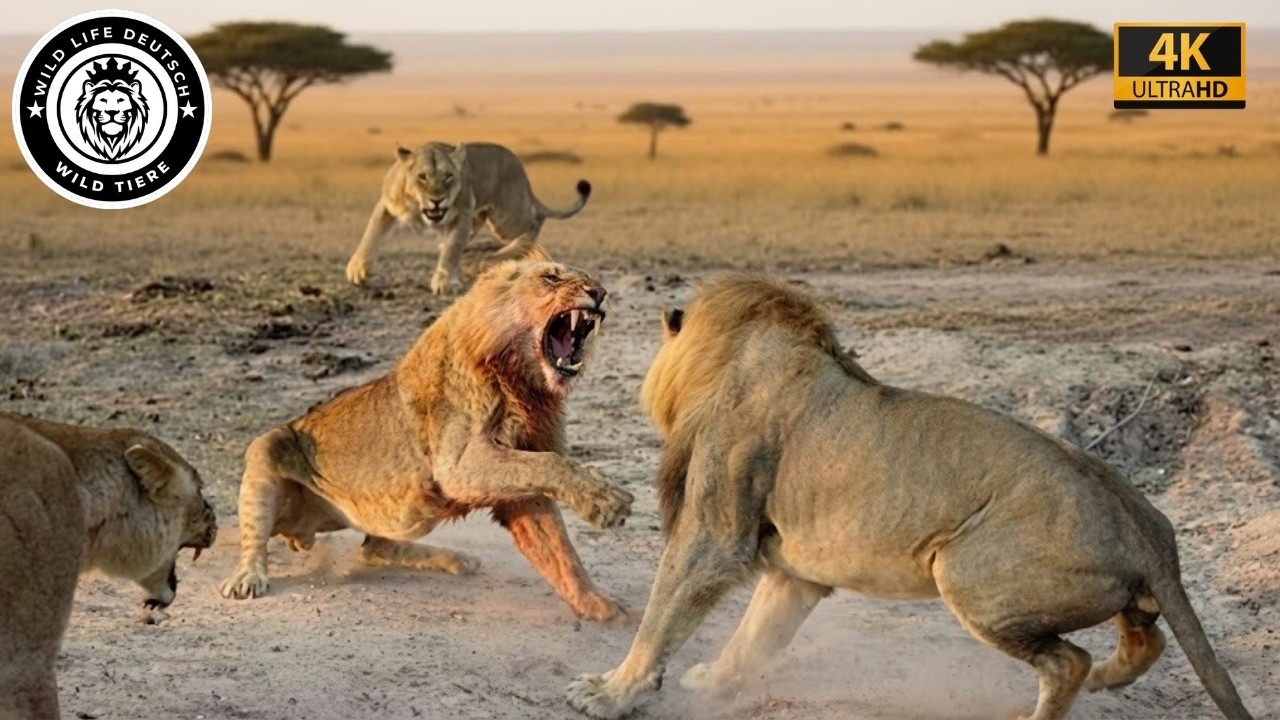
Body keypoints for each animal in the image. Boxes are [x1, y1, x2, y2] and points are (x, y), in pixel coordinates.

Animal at [221, 248, 633, 623]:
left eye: (591, 279)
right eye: (551, 277)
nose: (600, 292)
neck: (525, 385)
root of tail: (298, 532)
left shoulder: (520, 488)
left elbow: (560, 551)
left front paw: (600, 607)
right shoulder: (457, 465)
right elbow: (550, 464)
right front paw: (608, 501)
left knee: (375, 549)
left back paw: (458, 559)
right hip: (267, 447)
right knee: (256, 535)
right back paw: (246, 579)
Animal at [344, 141, 592, 295]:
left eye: (448, 176)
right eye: (422, 177)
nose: (437, 200)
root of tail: (523, 173)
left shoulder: (463, 211)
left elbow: (452, 247)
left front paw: (444, 281)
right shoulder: (388, 204)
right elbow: (371, 233)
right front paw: (358, 270)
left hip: (506, 216)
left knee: (533, 223)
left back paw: (493, 257)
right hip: (481, 219)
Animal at [566, 274, 1255, 720]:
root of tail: (1148, 528)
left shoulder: (714, 534)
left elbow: (663, 615)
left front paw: (609, 692)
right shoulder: (797, 573)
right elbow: (753, 636)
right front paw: (713, 682)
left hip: (967, 572)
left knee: (1069, 663)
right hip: (1120, 594)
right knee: (1145, 642)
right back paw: (1109, 681)